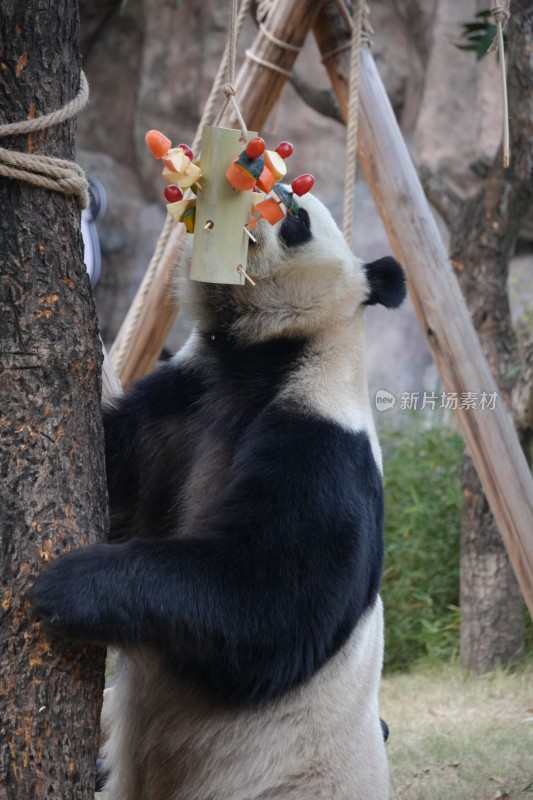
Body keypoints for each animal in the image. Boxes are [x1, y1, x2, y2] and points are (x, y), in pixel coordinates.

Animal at [31, 192, 406, 800]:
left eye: (296, 216)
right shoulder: (183, 400)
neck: (261, 360)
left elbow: (269, 598)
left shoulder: (324, 443)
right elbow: (118, 478)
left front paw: (68, 587)